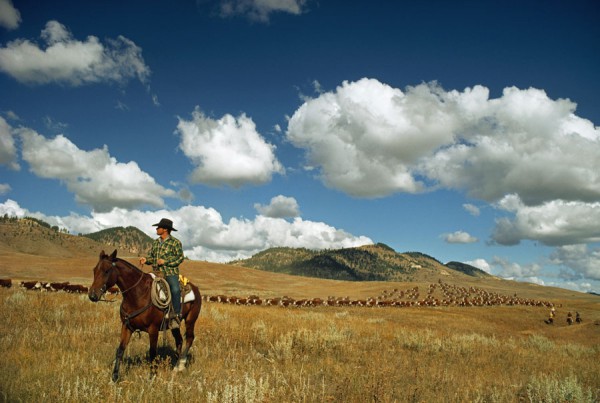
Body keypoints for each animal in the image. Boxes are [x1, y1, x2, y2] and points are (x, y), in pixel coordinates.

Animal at [88, 249, 202, 382]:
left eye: (106, 271)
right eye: (94, 270)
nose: (92, 295)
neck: (138, 294)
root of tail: (195, 288)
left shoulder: (153, 329)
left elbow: (152, 352)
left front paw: (152, 376)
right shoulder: (126, 326)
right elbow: (120, 350)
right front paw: (115, 377)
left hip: (190, 320)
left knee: (189, 338)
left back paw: (182, 365)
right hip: (174, 324)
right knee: (179, 340)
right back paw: (175, 367)